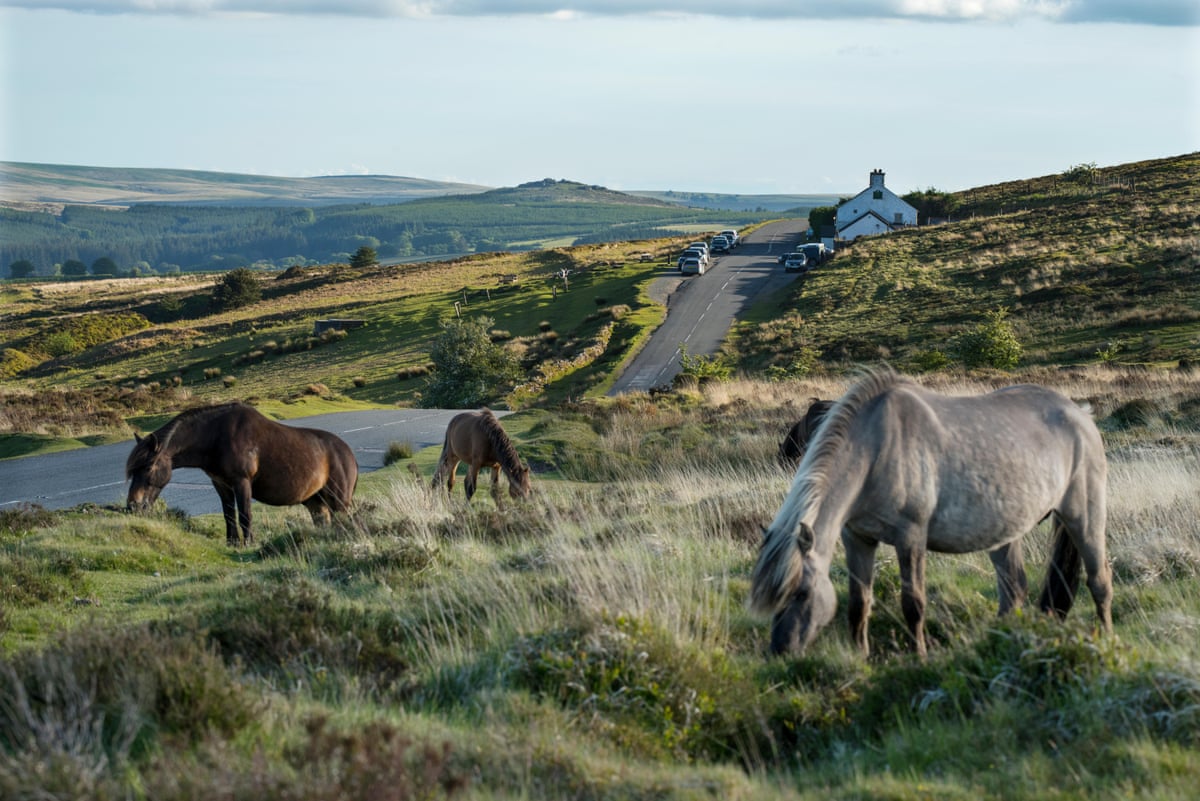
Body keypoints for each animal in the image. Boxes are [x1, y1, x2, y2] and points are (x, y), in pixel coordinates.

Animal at [126, 402, 358, 546]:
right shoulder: (221, 485)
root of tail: (349, 453)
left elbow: (245, 514)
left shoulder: (242, 482)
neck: (216, 437)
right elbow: (229, 515)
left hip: (339, 501)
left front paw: (249, 542)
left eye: (148, 467)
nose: (133, 506)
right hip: (316, 503)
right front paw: (233, 543)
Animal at [749, 367, 1112, 660]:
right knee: (1014, 590)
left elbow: (913, 603)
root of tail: (1080, 415)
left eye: (801, 592)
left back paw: (1104, 640)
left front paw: (919, 656)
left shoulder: (910, 537)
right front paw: (861, 657)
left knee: (1099, 581)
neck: (877, 449)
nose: (779, 651)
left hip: (1084, 517)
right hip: (1005, 532)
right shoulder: (858, 538)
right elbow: (858, 603)